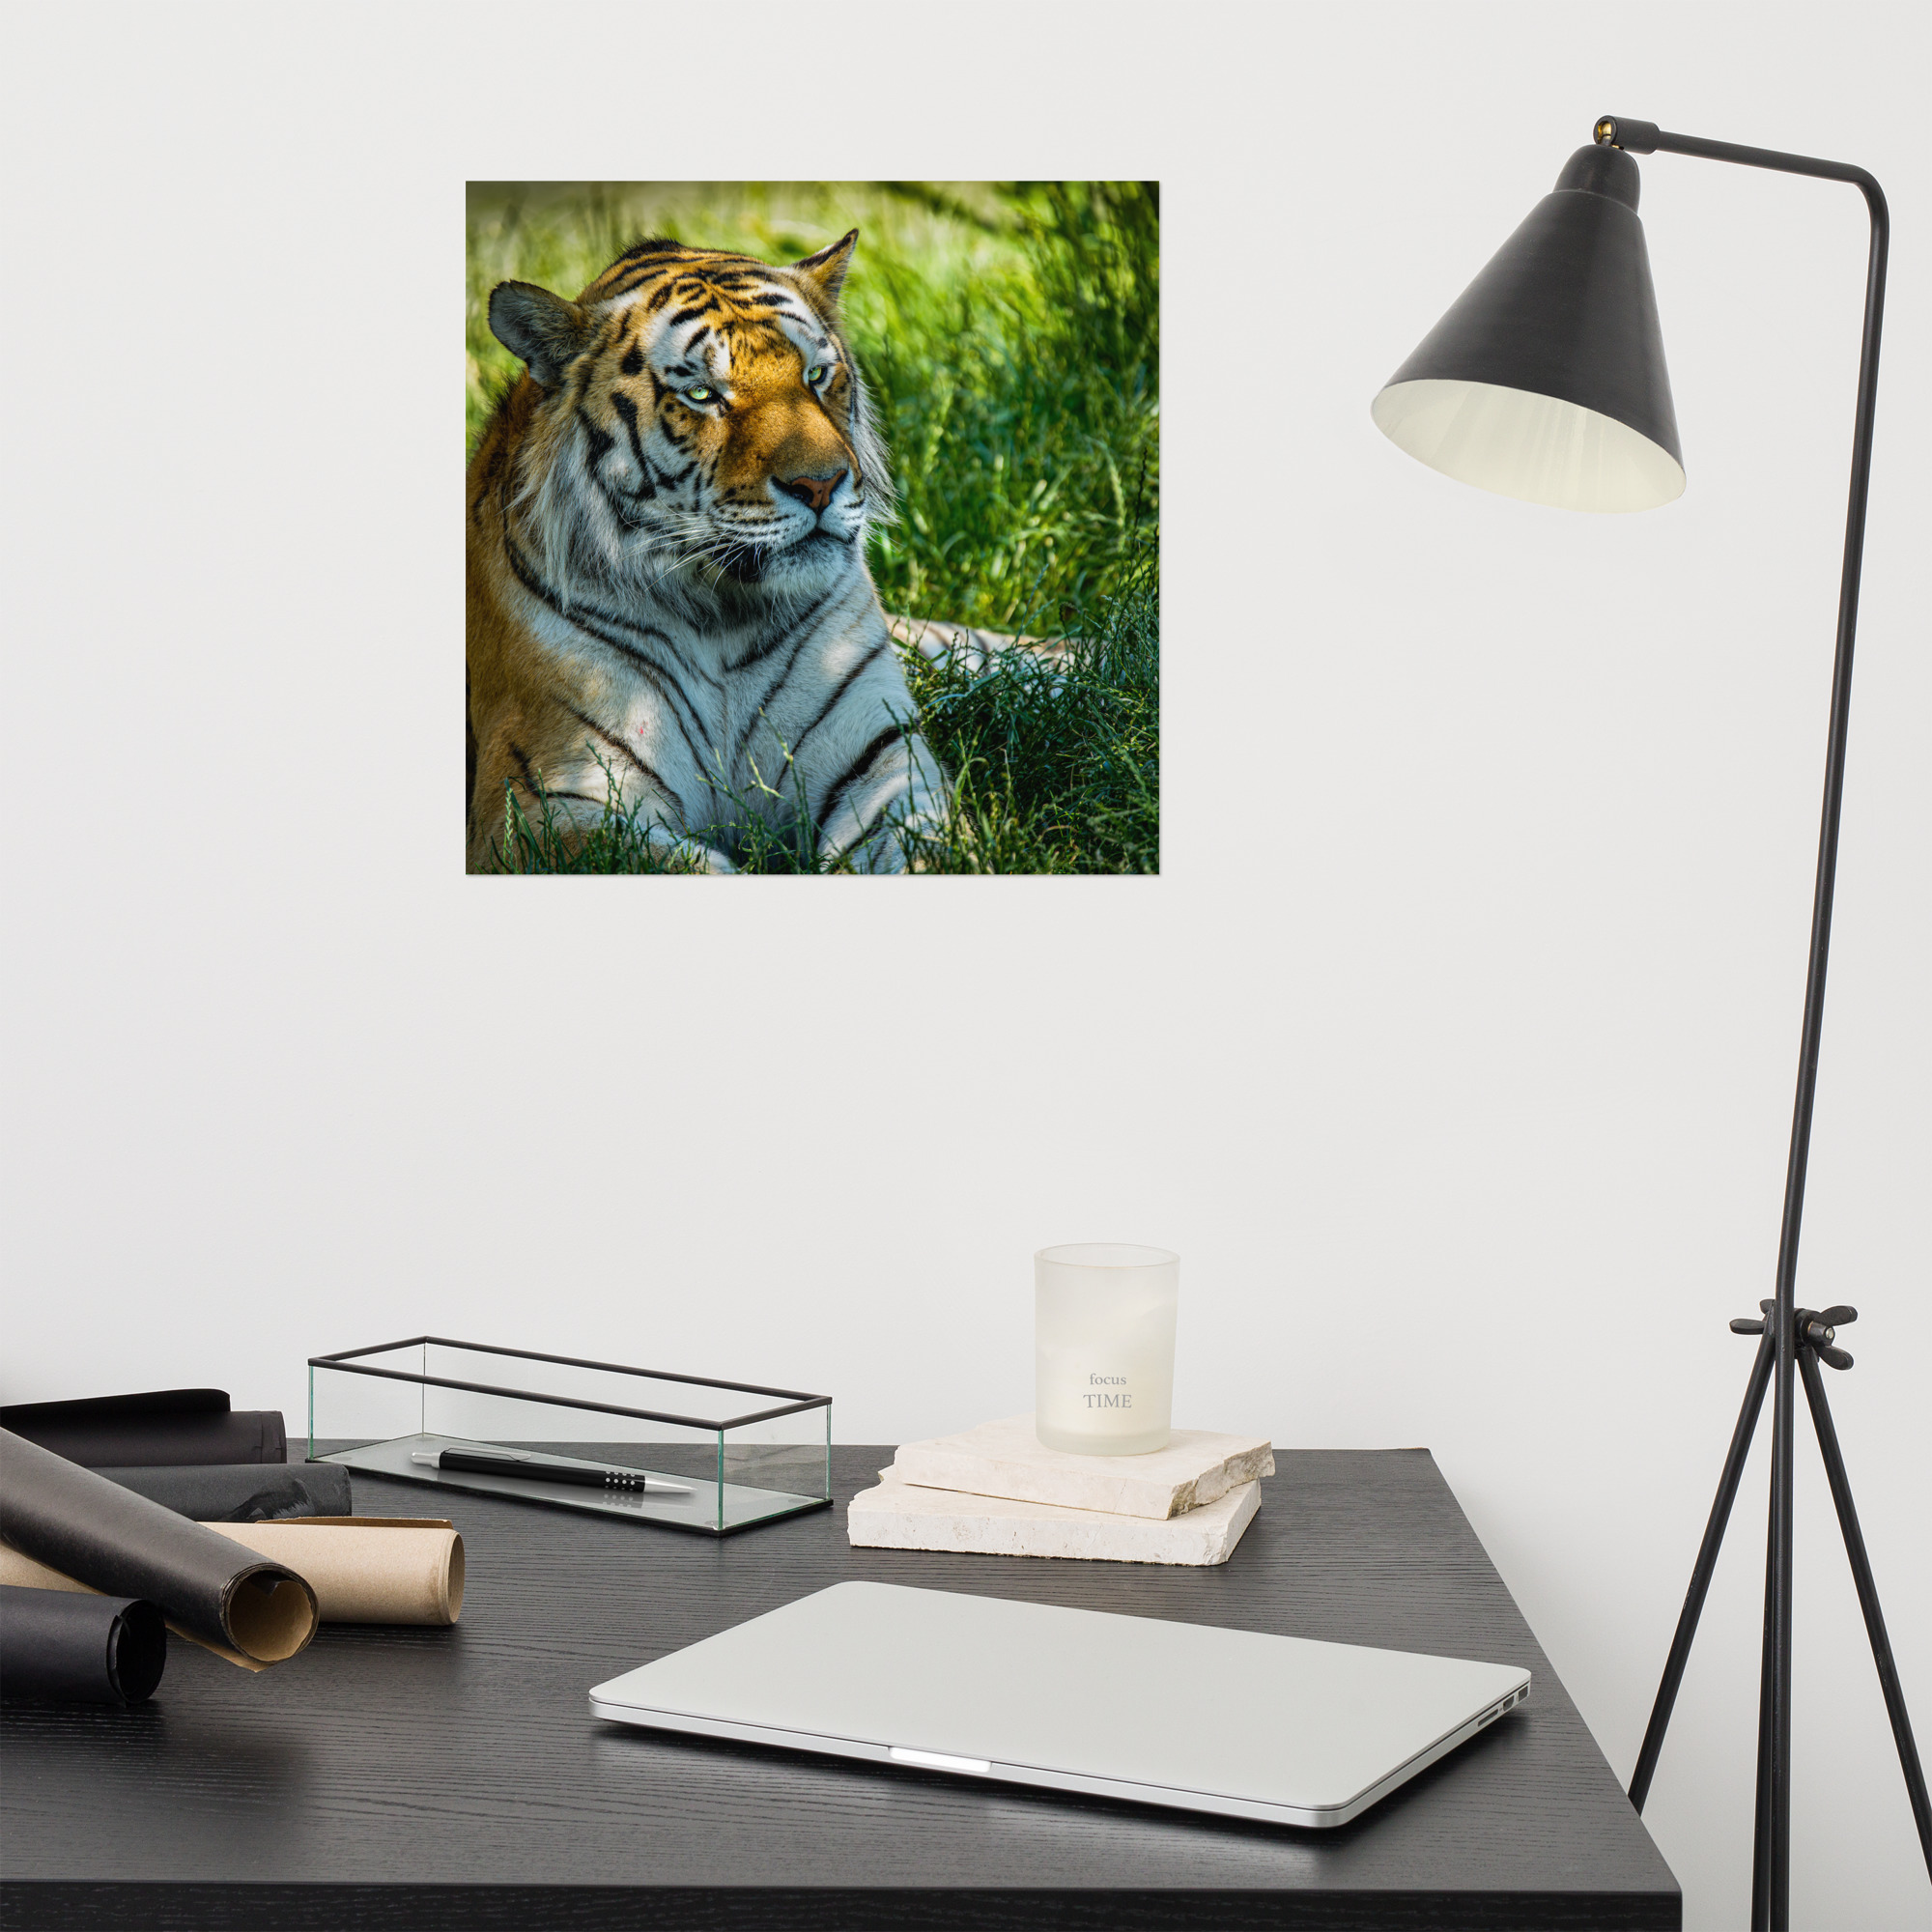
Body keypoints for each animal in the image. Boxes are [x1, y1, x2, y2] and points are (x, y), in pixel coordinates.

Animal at [465, 229, 947, 873]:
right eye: (702, 393)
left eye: (817, 375)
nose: (822, 484)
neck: (722, 618)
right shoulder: (547, 804)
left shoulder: (884, 759)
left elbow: (925, 849)